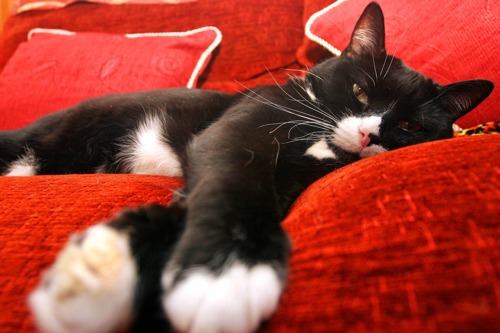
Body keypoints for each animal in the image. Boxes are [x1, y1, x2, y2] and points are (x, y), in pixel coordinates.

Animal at [0, 2, 492, 332]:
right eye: (360, 92)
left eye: (409, 125)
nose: (370, 134)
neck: (323, 141)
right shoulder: (238, 132)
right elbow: (232, 177)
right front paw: (229, 272)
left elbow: (187, 206)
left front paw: (105, 268)